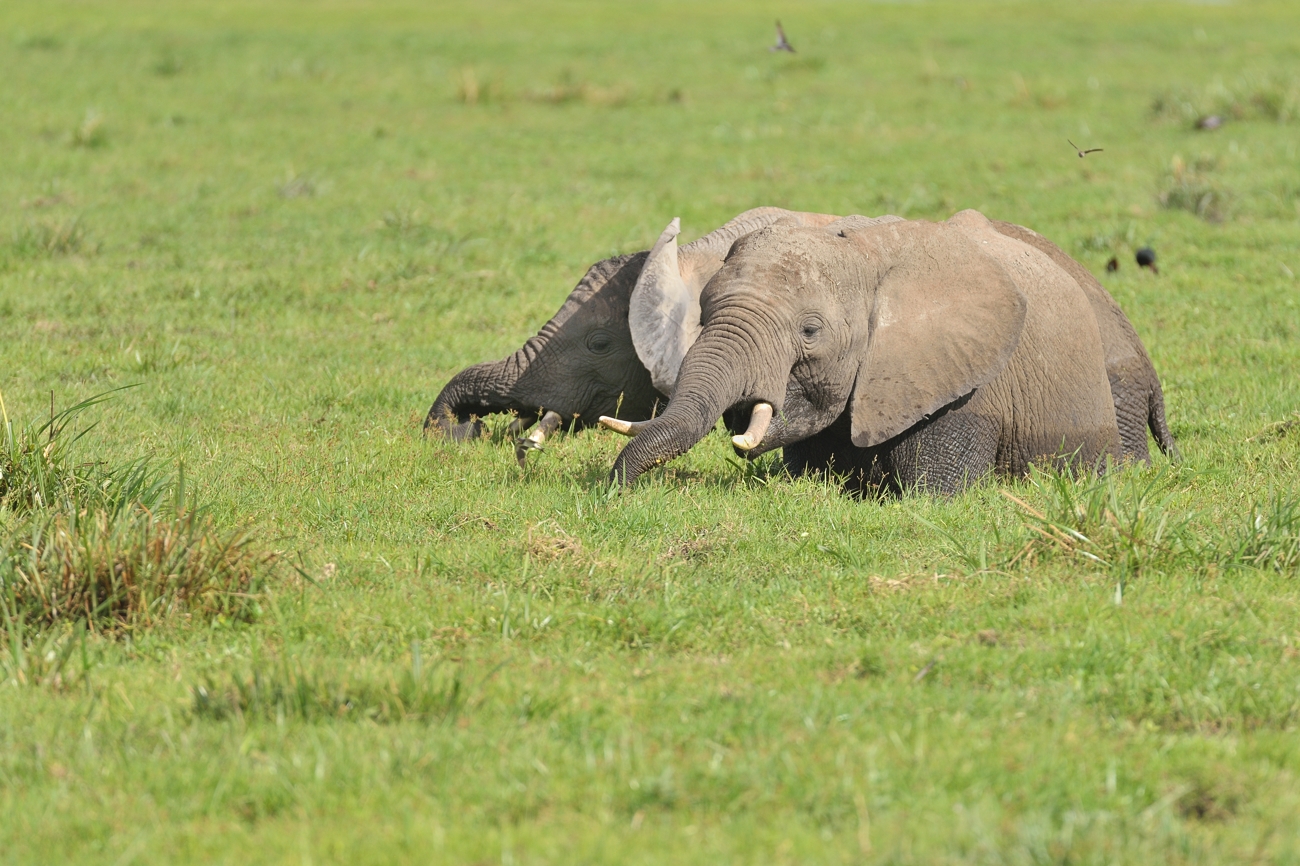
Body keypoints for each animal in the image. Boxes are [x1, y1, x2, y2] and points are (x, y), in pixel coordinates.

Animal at [608, 209, 1170, 491]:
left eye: (810, 331)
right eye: (704, 313)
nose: (617, 490)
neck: (865, 252)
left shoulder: (957, 385)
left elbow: (935, 497)